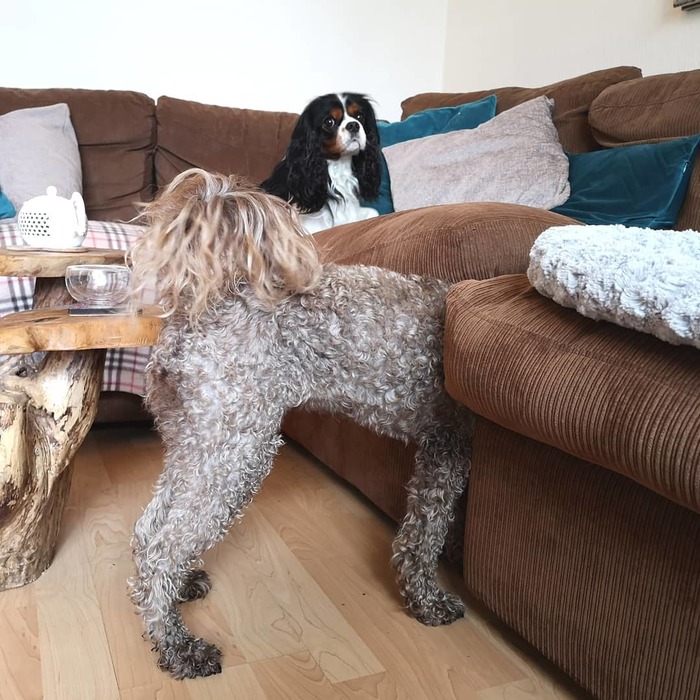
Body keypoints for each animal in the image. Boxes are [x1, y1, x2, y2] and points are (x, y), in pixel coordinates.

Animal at [127, 168, 473, 679]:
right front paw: (426, 601)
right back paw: (177, 646)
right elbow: (426, 533)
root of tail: (201, 310)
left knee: (150, 527)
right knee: (160, 553)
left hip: (198, 443)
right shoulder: (448, 446)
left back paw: (181, 587)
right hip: (239, 452)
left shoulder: (439, 445)